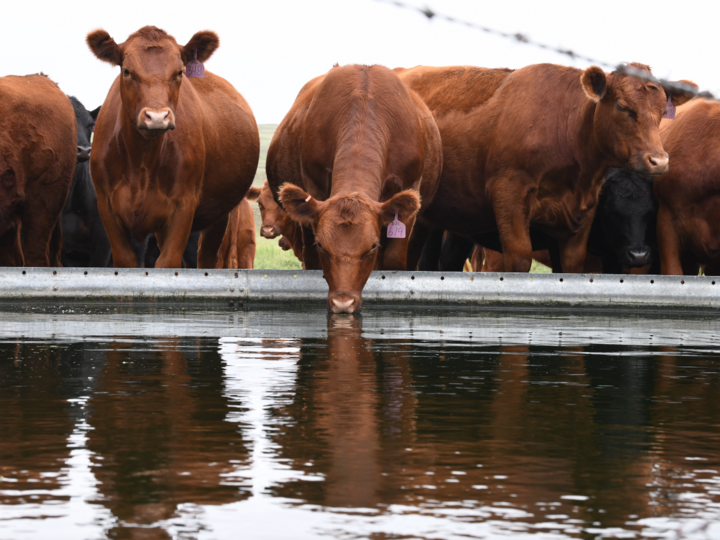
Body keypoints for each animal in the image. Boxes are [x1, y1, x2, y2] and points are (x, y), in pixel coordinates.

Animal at [87, 26, 260, 268]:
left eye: (179, 72)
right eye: (127, 71)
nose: (157, 117)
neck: (141, 161)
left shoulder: (184, 206)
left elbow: (168, 262)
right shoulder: (107, 205)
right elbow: (126, 260)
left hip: (220, 213)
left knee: (206, 256)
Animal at [268, 65, 442, 314]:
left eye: (372, 246)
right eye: (322, 245)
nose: (343, 303)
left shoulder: (410, 193)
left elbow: (394, 260)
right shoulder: (314, 190)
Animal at [400, 65, 692, 272]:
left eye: (661, 112)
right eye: (623, 107)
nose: (659, 161)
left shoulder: (578, 215)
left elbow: (570, 265)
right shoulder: (509, 197)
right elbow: (519, 259)